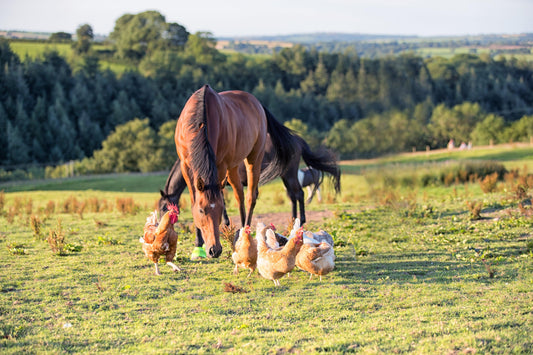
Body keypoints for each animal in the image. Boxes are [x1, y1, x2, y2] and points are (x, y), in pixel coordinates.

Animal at [174, 86, 296, 258]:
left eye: (219, 210)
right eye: (201, 210)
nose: (214, 250)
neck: (200, 123)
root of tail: (257, 103)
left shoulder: (220, 166)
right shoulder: (185, 166)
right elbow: (193, 200)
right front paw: (198, 246)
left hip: (253, 158)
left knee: (250, 196)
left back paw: (244, 233)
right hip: (233, 167)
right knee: (239, 194)